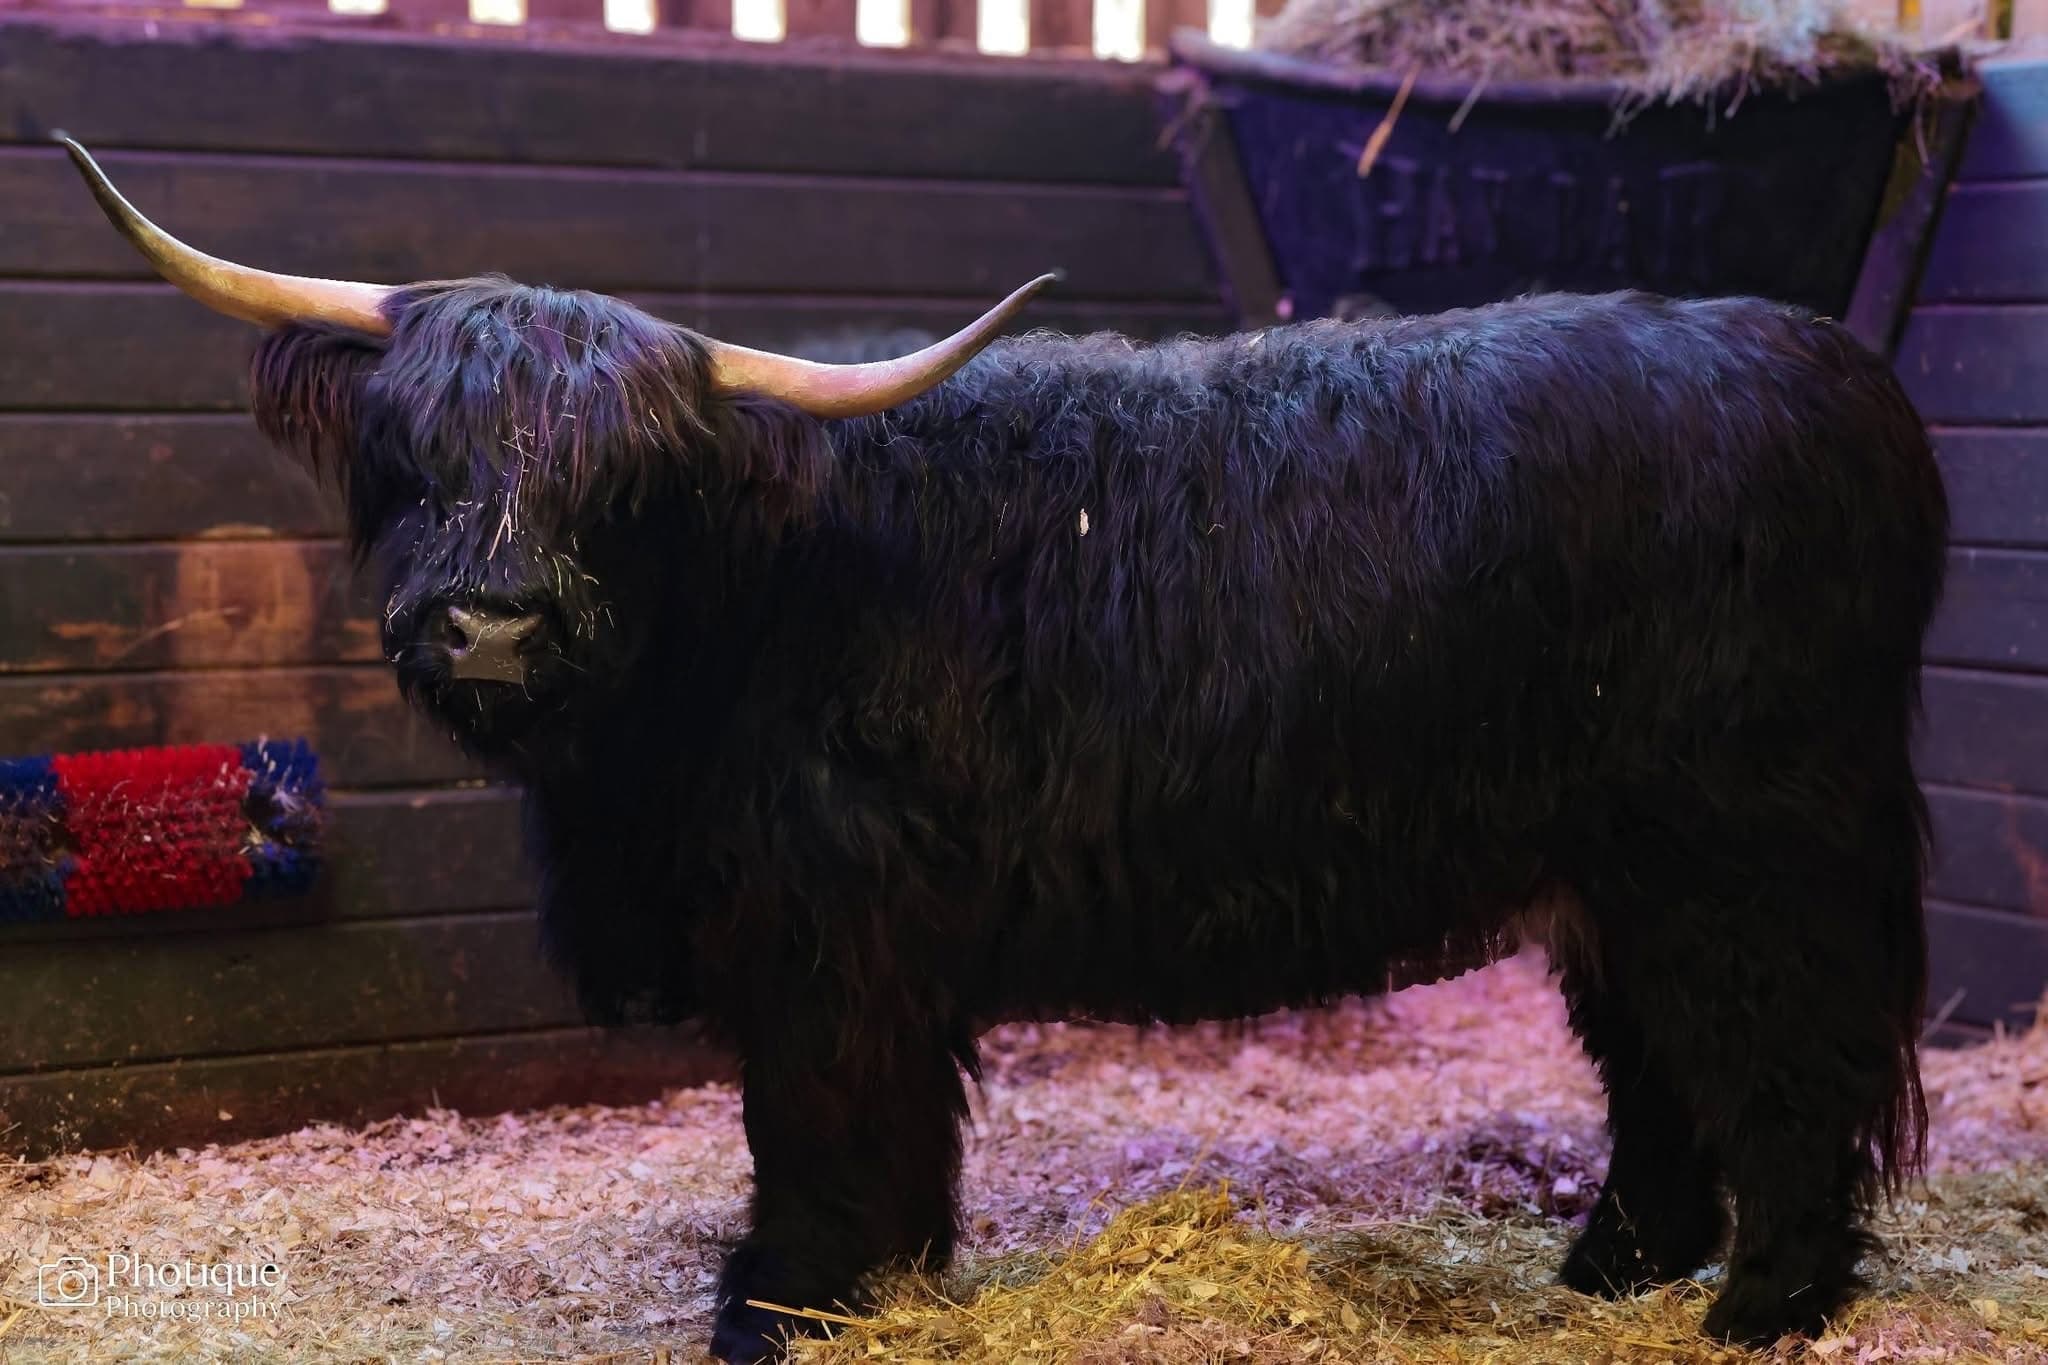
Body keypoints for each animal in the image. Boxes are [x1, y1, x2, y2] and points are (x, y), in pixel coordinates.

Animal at [60, 137, 1946, 1362]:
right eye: (418, 457)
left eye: (625, 485)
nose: (496, 628)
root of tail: (1832, 370)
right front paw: (879, 1276)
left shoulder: (833, 921)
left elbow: (815, 1114)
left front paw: (786, 1300)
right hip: (1624, 871)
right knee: (1662, 1066)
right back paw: (1614, 1270)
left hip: (1748, 848)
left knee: (1789, 1058)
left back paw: (1764, 1305)